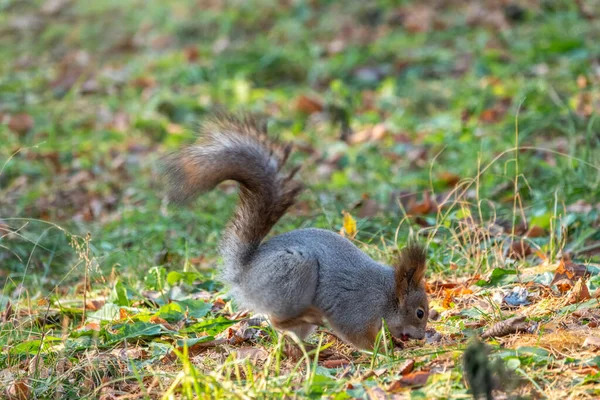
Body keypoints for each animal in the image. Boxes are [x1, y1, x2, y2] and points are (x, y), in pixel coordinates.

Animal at [163, 113, 426, 350]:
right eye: (420, 313)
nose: (423, 337)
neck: (387, 294)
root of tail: (243, 275)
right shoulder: (356, 309)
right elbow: (357, 336)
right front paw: (383, 352)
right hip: (294, 275)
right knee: (277, 321)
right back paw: (311, 320)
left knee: (289, 332)